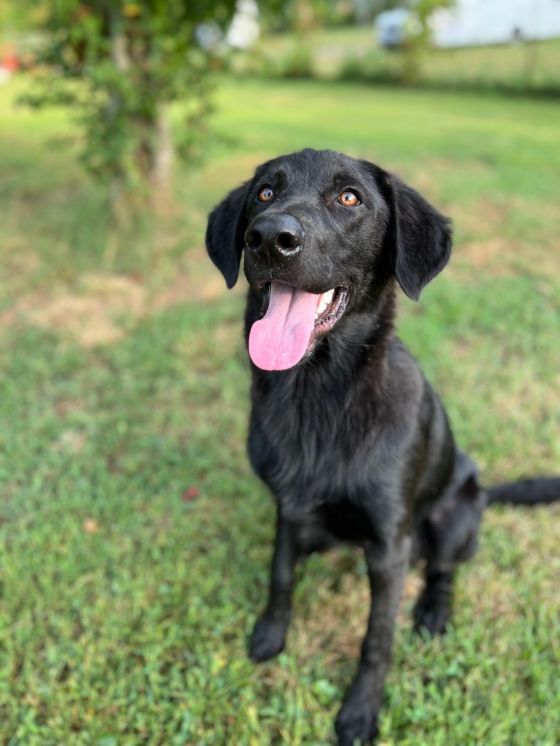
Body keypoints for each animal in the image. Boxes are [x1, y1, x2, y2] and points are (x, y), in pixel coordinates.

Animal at [205, 148, 559, 745]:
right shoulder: (287, 507)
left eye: (349, 198)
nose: (269, 237)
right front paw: (270, 634)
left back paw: (434, 612)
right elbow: (281, 574)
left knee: (443, 569)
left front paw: (360, 711)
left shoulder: (391, 546)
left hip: (455, 515)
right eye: (264, 194)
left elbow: (377, 638)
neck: (317, 397)